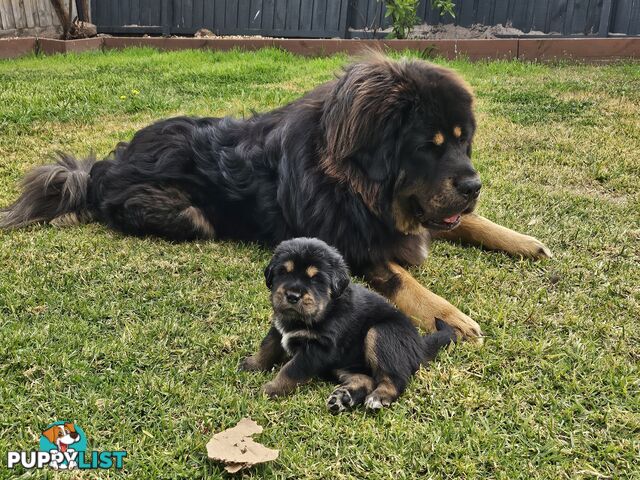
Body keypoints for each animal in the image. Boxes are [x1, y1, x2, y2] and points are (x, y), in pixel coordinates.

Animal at [1, 53, 552, 342]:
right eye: (429, 146)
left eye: (463, 142)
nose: (473, 186)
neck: (351, 183)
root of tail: (103, 167)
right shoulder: (350, 249)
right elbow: (403, 281)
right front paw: (450, 315)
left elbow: (469, 223)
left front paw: (522, 240)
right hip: (187, 215)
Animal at [240, 238, 456, 410]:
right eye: (283, 272)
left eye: (316, 279)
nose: (292, 296)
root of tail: (419, 344)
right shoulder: (278, 330)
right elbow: (267, 347)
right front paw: (251, 364)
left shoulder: (317, 349)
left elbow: (291, 370)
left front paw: (269, 389)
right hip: (346, 364)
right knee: (366, 379)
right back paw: (343, 398)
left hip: (381, 333)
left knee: (395, 379)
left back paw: (378, 397)